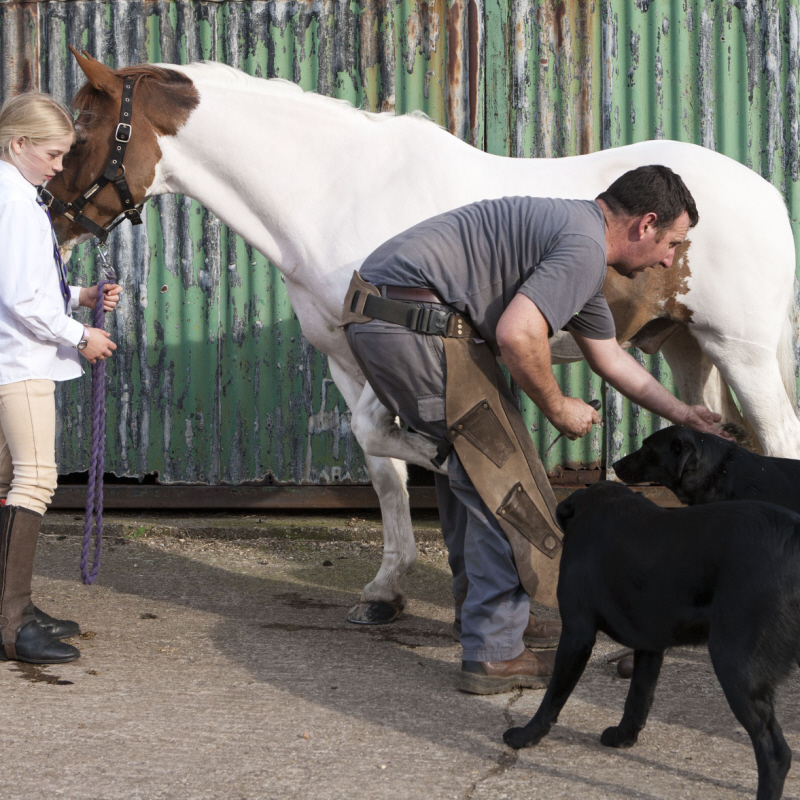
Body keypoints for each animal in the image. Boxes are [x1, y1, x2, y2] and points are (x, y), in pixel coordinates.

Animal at [506, 482, 800, 800]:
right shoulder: (650, 645)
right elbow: (638, 696)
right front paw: (623, 737)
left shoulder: (576, 634)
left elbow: (552, 698)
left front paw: (525, 735)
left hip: (735, 663)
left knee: (776, 753)